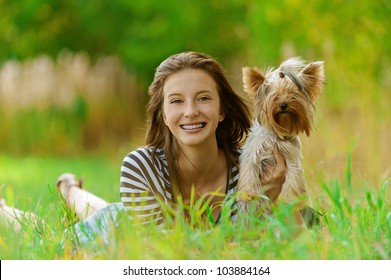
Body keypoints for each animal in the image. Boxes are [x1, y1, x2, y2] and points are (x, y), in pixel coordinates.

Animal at [237, 57, 326, 223]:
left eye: (293, 94)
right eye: (275, 96)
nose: (283, 105)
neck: (277, 136)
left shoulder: (292, 161)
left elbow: (291, 181)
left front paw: (288, 200)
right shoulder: (252, 154)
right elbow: (249, 172)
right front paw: (248, 193)